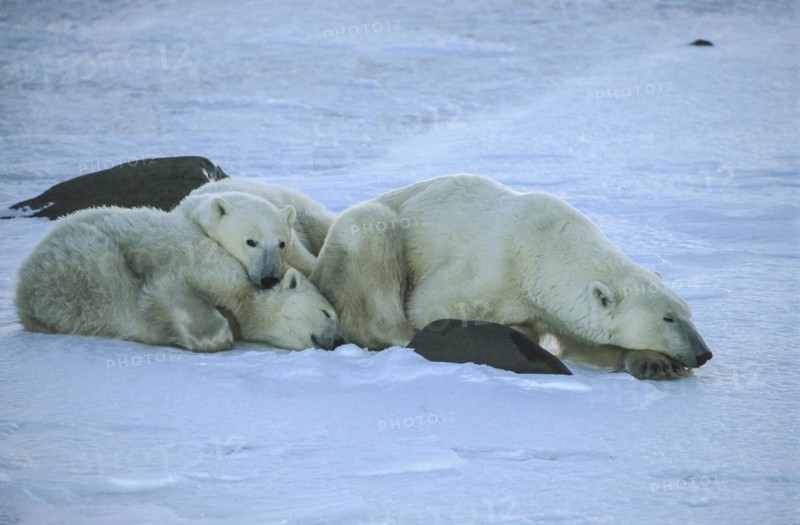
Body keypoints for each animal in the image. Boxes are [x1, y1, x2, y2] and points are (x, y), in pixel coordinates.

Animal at [310, 174, 713, 380]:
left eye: (688, 313)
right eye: (668, 318)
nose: (703, 353)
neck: (543, 249)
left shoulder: (553, 304)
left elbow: (585, 343)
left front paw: (655, 363)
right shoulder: (487, 268)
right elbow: (428, 307)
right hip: (365, 236)